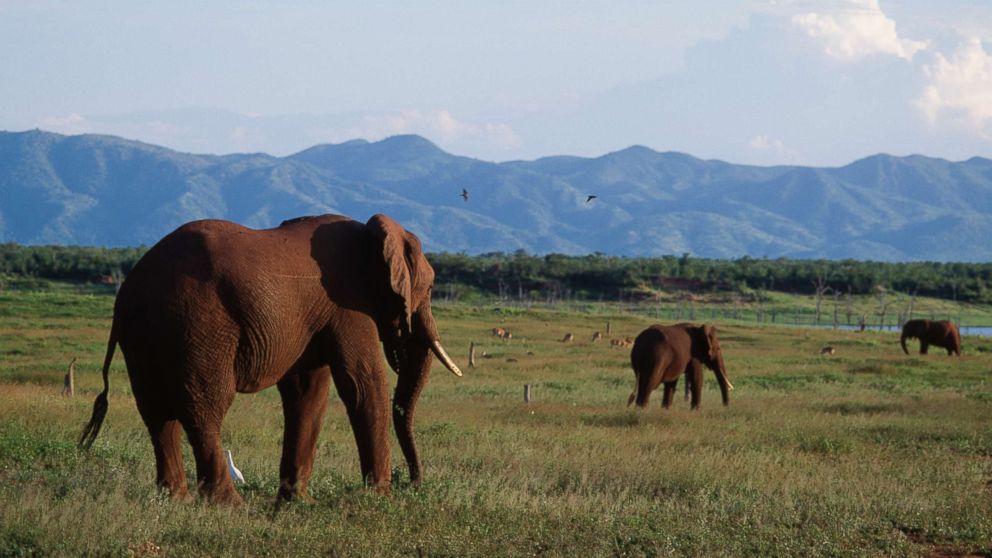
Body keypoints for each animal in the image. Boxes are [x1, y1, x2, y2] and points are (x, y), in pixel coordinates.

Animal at [79, 213, 463, 504]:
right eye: (430, 289)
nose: (411, 482)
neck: (373, 235)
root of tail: (129, 290)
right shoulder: (349, 306)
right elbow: (362, 383)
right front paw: (379, 500)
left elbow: (308, 393)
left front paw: (298, 503)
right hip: (197, 325)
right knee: (204, 407)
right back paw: (229, 505)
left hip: (147, 337)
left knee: (157, 415)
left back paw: (175, 500)